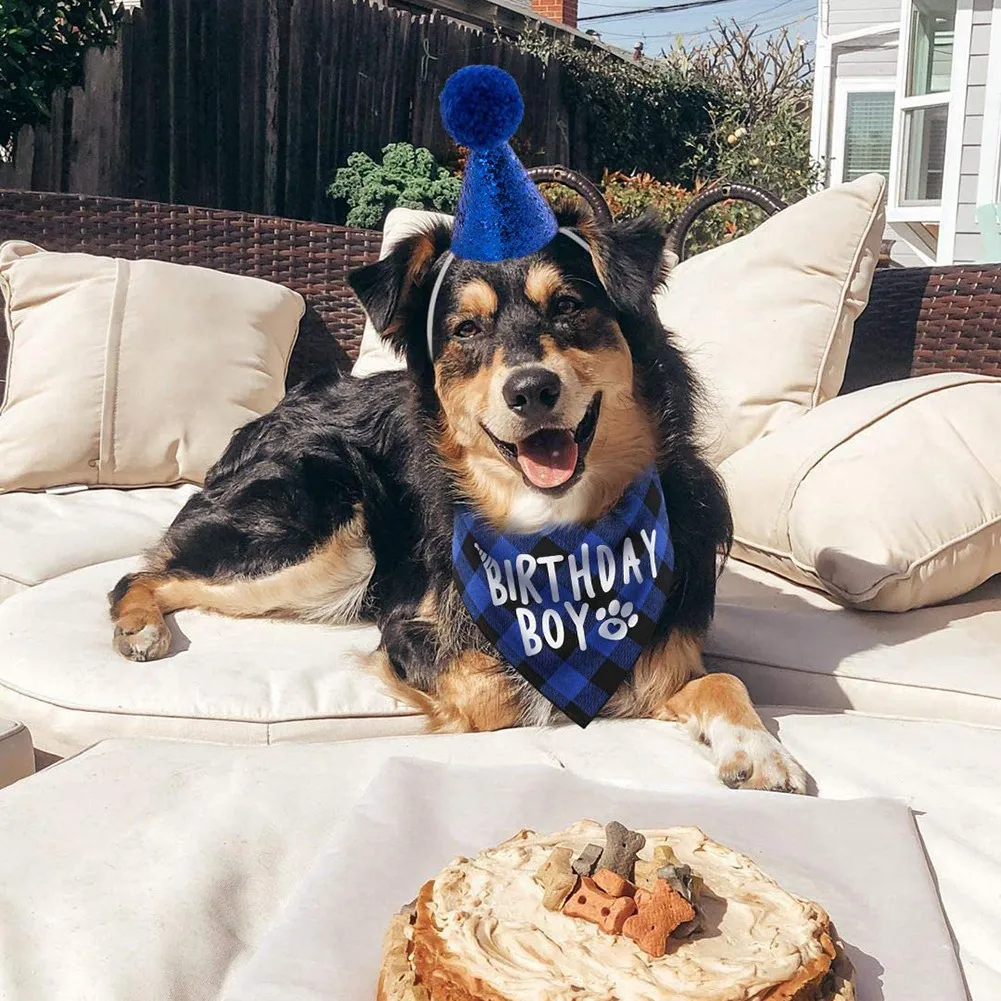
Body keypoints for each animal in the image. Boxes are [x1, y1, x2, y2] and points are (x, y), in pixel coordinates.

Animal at [111, 203, 804, 792]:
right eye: (466, 330)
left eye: (568, 307)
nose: (531, 390)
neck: (558, 537)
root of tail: (274, 414)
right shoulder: (410, 629)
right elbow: (499, 692)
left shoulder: (667, 649)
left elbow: (716, 678)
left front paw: (759, 747)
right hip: (331, 533)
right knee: (145, 576)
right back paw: (139, 625)